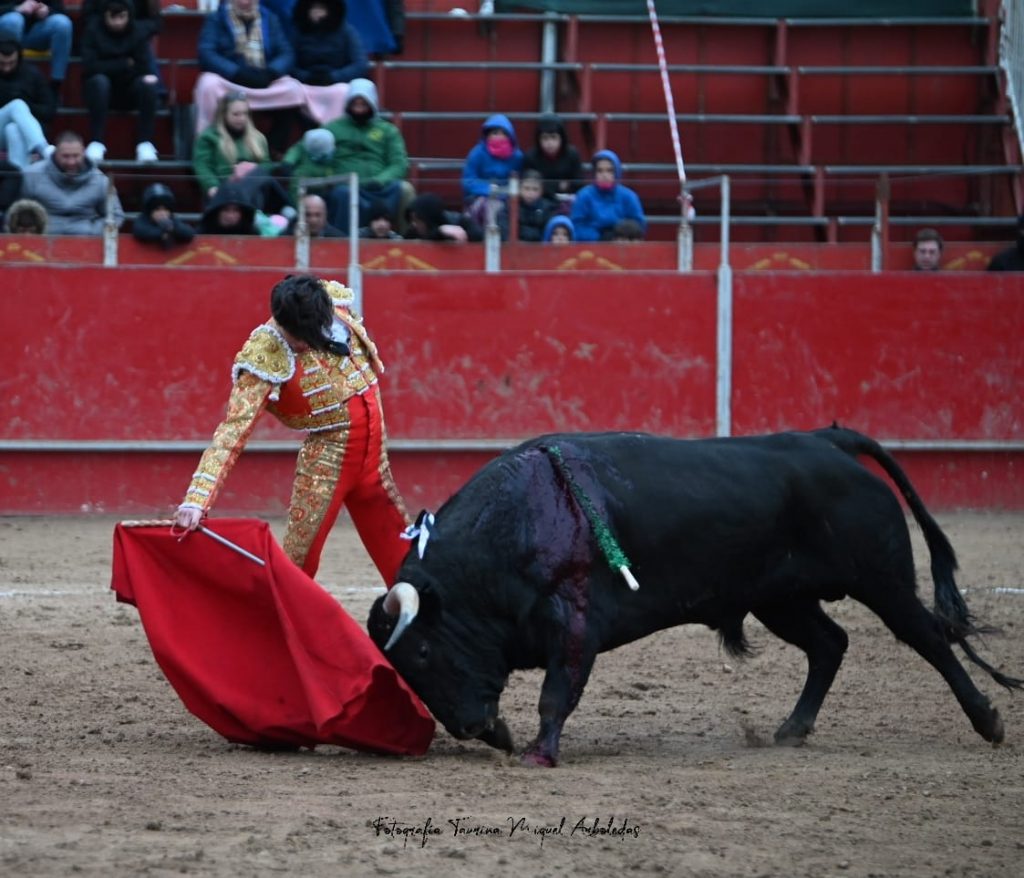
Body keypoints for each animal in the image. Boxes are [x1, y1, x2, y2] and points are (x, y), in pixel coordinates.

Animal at [366, 428, 1015, 762]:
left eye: (421, 652)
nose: (470, 727)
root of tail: (823, 440)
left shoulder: (574, 622)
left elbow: (558, 692)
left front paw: (539, 752)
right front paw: (507, 738)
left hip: (880, 579)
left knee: (927, 638)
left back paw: (988, 721)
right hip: (780, 599)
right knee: (830, 643)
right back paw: (791, 729)